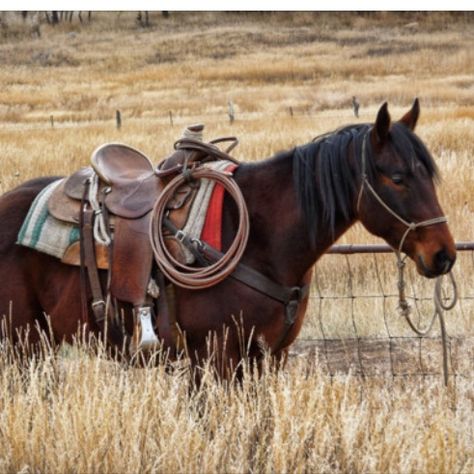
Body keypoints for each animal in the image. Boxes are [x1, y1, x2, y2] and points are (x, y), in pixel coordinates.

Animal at [0, 101, 456, 374]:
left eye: (427, 174)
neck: (261, 238)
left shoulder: (268, 356)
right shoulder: (216, 357)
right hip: (21, 344)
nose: (444, 255)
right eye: (397, 178)